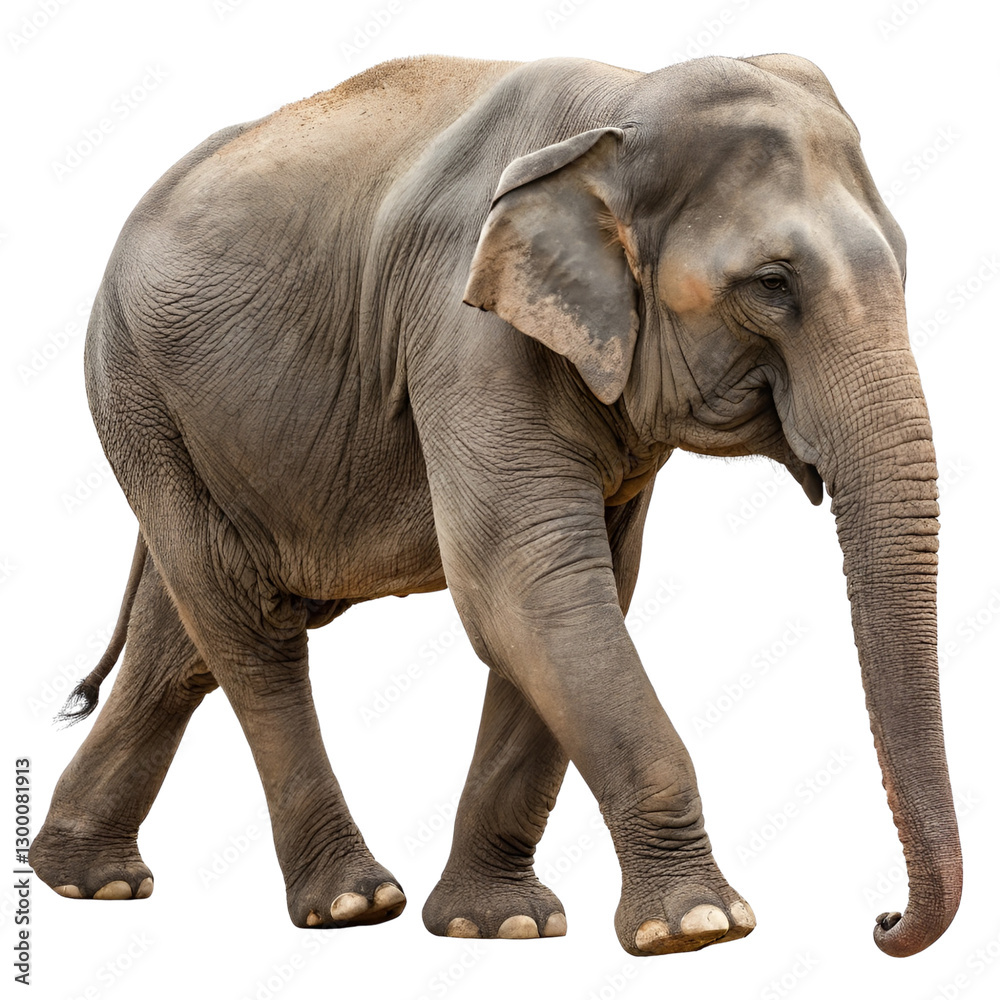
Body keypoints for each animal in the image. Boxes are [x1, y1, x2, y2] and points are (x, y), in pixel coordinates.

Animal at [30, 51, 962, 958]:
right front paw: (698, 927)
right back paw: (351, 902)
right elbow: (525, 584)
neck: (620, 107)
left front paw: (501, 926)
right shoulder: (463, 326)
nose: (882, 921)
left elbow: (576, 594)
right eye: (772, 284)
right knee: (248, 624)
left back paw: (89, 879)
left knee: (184, 639)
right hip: (136, 391)